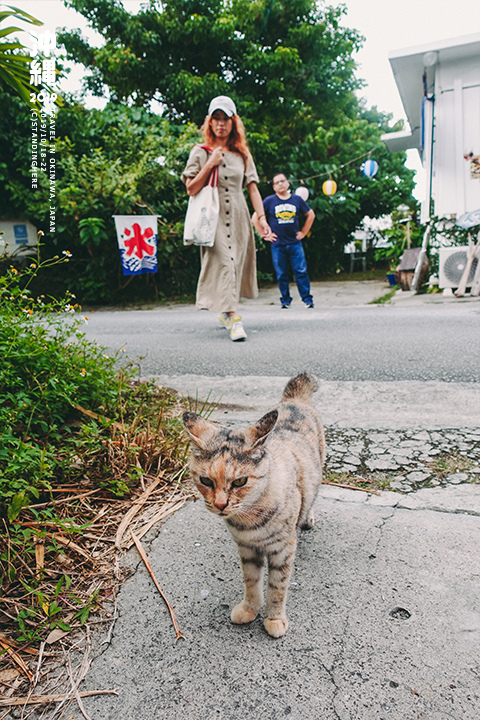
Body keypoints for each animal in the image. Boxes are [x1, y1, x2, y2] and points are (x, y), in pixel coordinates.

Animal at [182, 374, 324, 640]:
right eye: (205, 480)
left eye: (240, 481)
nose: (220, 504)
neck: (249, 518)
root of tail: (294, 400)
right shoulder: (247, 549)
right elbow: (251, 581)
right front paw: (249, 609)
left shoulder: (283, 550)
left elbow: (277, 587)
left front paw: (274, 619)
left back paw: (307, 518)